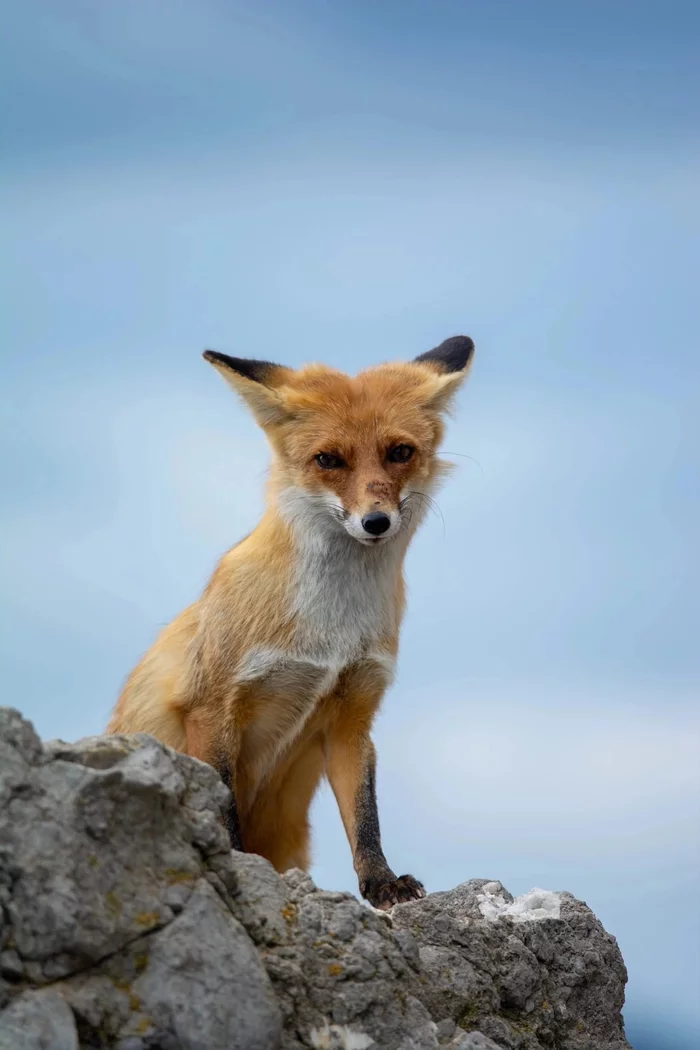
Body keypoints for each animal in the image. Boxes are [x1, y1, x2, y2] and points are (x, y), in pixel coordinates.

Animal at [107, 335, 475, 909]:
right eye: (328, 460)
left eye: (400, 452)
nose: (376, 522)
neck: (330, 628)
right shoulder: (211, 704)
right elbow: (223, 806)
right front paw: (237, 868)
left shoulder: (353, 713)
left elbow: (365, 818)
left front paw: (382, 883)